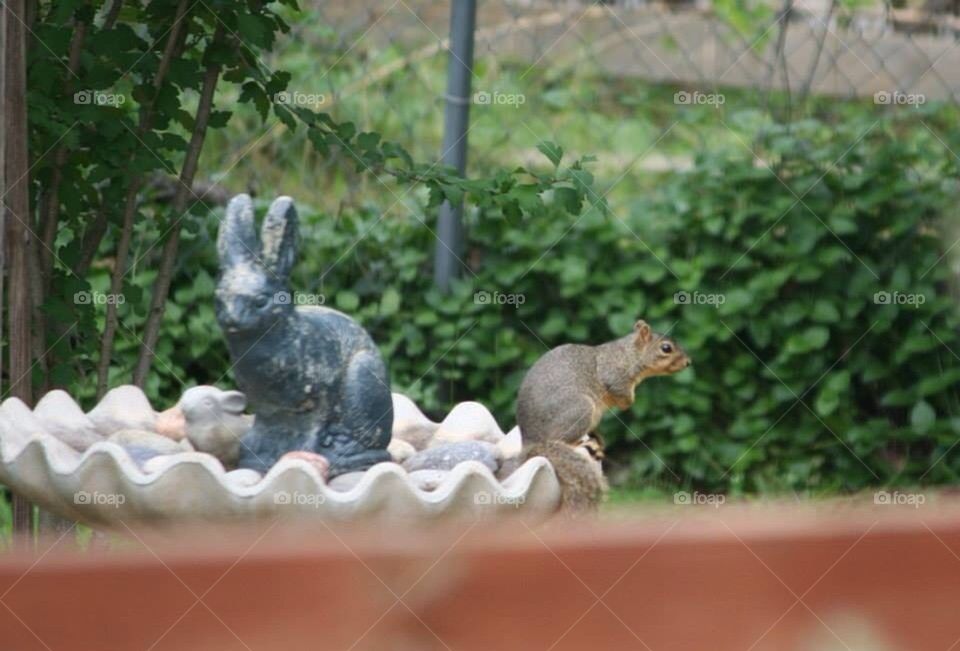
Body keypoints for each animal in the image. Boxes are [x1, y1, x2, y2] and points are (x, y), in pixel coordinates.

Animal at [516, 320, 688, 516]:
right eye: (666, 348)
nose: (688, 362)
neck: (628, 354)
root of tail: (531, 441)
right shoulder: (614, 375)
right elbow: (620, 391)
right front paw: (628, 402)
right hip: (579, 410)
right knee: (560, 438)